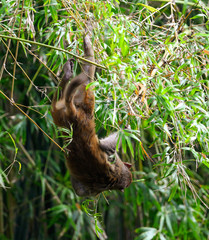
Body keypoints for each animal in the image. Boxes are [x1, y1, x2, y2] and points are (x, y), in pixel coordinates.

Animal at [51, 27, 131, 197]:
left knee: (86, 77)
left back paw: (68, 74)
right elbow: (106, 146)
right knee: (88, 76)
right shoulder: (114, 161)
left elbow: (80, 191)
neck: (115, 178)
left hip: (67, 111)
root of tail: (74, 114)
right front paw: (128, 128)